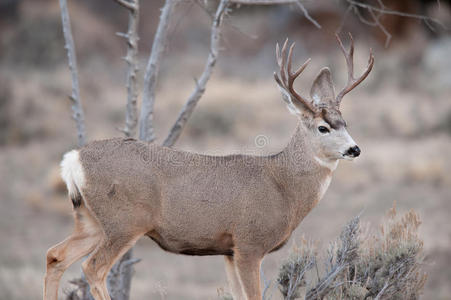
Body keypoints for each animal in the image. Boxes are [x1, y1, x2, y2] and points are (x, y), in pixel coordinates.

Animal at [43, 33, 374, 300]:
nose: (354, 149)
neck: (283, 186)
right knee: (92, 268)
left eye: (345, 123)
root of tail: (73, 159)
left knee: (55, 255)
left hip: (90, 220)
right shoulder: (249, 243)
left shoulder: (228, 250)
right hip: (125, 221)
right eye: (322, 128)